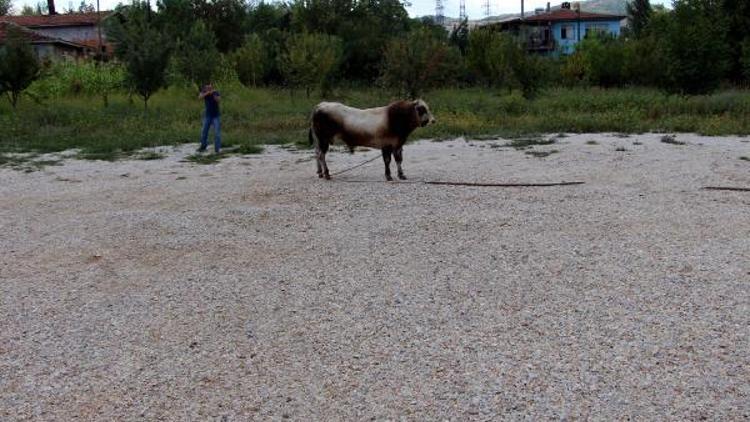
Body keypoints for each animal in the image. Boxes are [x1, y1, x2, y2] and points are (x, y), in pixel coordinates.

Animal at [306, 99, 434, 181]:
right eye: (422, 109)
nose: (433, 120)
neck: (396, 118)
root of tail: (320, 105)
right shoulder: (386, 145)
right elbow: (387, 161)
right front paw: (388, 176)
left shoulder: (397, 145)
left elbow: (399, 160)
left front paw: (401, 175)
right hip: (324, 140)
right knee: (321, 155)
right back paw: (327, 174)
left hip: (319, 141)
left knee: (317, 153)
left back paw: (320, 173)